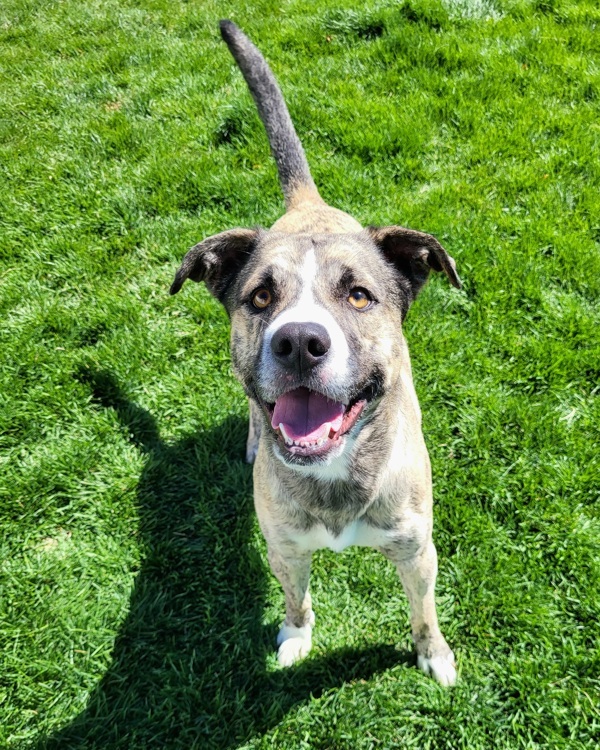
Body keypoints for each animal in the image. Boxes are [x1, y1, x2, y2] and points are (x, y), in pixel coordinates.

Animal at [171, 19, 462, 688]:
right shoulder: (283, 547)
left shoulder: (418, 550)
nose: (299, 341)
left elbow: (425, 613)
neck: (334, 472)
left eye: (359, 295)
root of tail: (308, 204)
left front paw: (434, 655)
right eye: (260, 295)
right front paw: (295, 637)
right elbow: (295, 598)